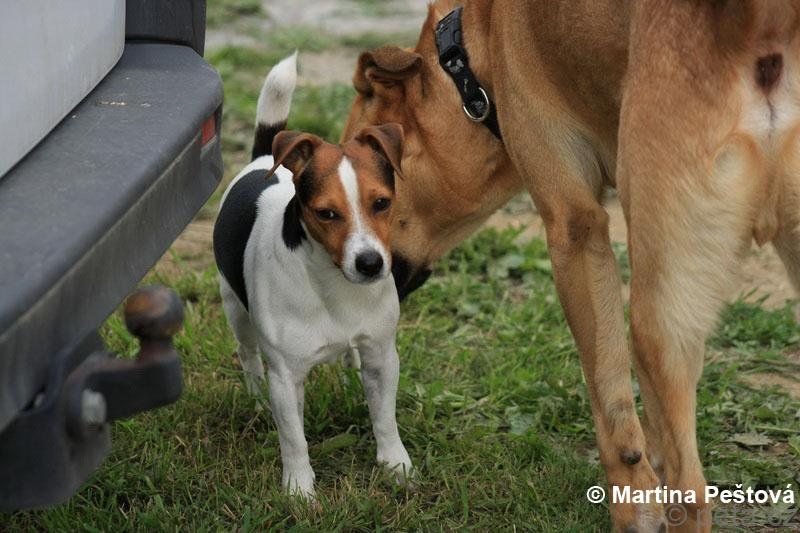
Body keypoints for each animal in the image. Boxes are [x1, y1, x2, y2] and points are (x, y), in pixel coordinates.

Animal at [213, 53, 413, 498]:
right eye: (326, 213)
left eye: (382, 203)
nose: (370, 263)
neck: (333, 284)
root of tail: (262, 158)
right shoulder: (285, 378)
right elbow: (293, 437)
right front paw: (299, 489)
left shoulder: (382, 356)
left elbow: (385, 418)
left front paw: (395, 464)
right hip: (235, 311)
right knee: (248, 356)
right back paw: (256, 401)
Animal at [340, 1, 800, 530]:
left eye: (368, 198)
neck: (473, 55)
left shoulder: (575, 230)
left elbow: (613, 409)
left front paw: (635, 507)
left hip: (657, 325)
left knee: (692, 493)